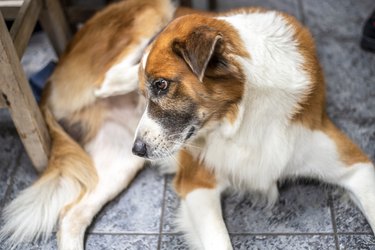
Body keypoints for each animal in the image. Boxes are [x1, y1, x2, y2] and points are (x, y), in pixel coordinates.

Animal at [0, 0, 375, 250]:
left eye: (162, 85)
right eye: (152, 89)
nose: (138, 148)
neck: (241, 115)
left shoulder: (356, 166)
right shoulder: (197, 183)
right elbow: (220, 241)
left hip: (117, 163)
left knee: (71, 216)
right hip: (156, 10)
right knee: (107, 78)